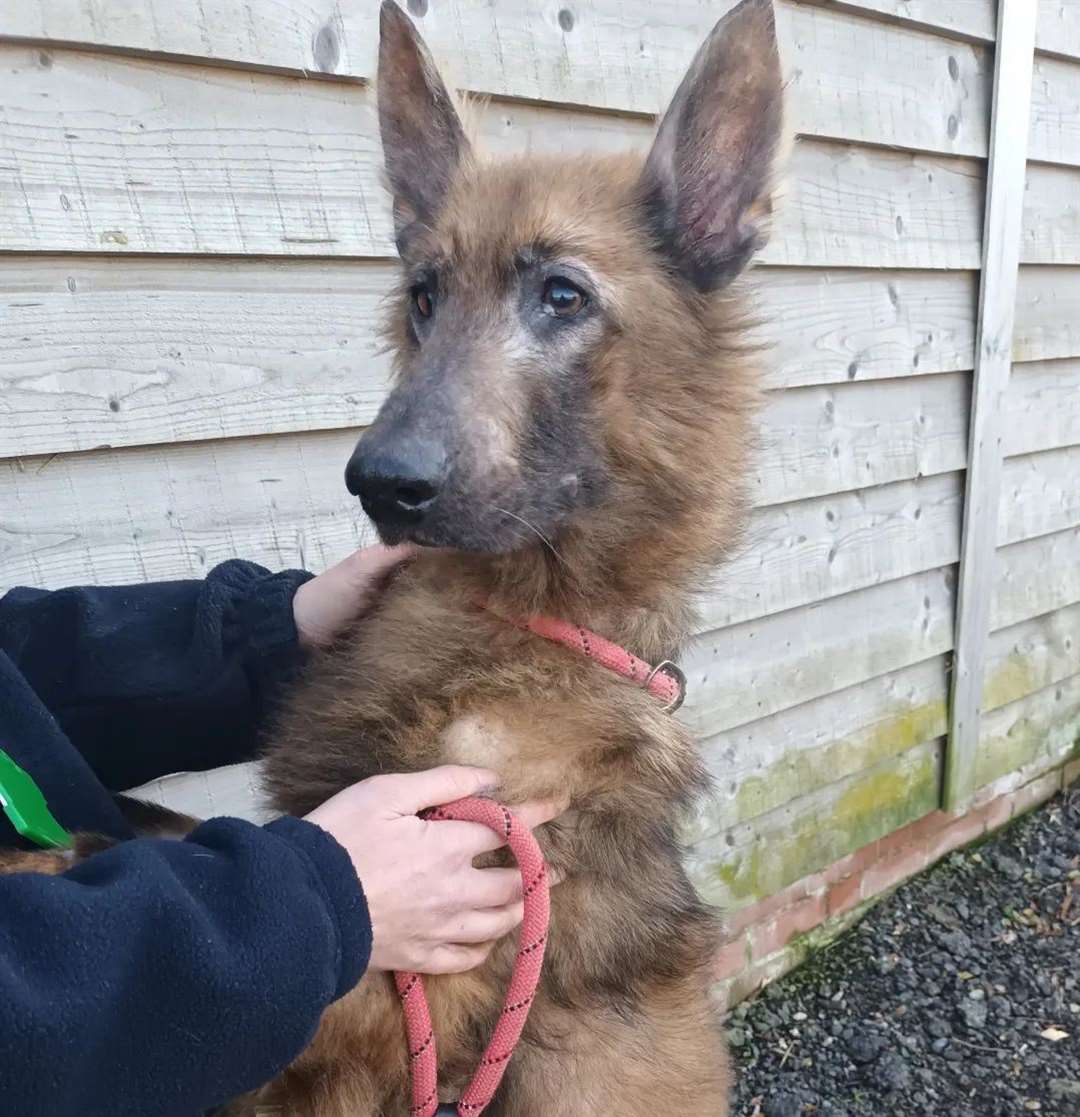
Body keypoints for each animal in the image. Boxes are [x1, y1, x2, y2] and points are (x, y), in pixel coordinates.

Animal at [0, 4, 781, 1112]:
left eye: (562, 295)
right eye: (423, 296)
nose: (379, 482)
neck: (512, 625)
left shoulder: (412, 967)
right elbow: (159, 834)